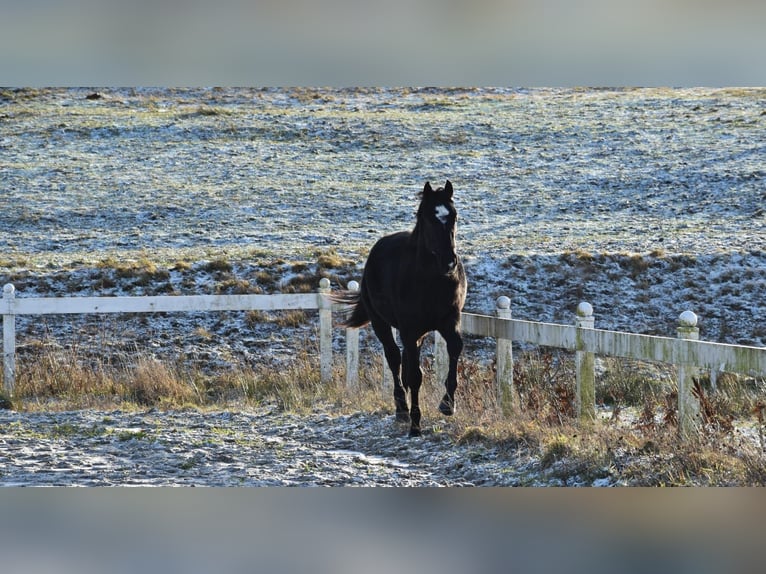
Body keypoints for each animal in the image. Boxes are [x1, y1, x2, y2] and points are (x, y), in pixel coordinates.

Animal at [336, 180, 468, 436]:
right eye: (429, 218)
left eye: (454, 216)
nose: (449, 262)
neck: (431, 281)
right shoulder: (408, 329)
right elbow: (414, 376)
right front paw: (415, 425)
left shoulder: (449, 321)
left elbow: (455, 348)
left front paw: (448, 404)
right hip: (382, 324)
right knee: (394, 359)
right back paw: (401, 411)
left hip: (416, 334)